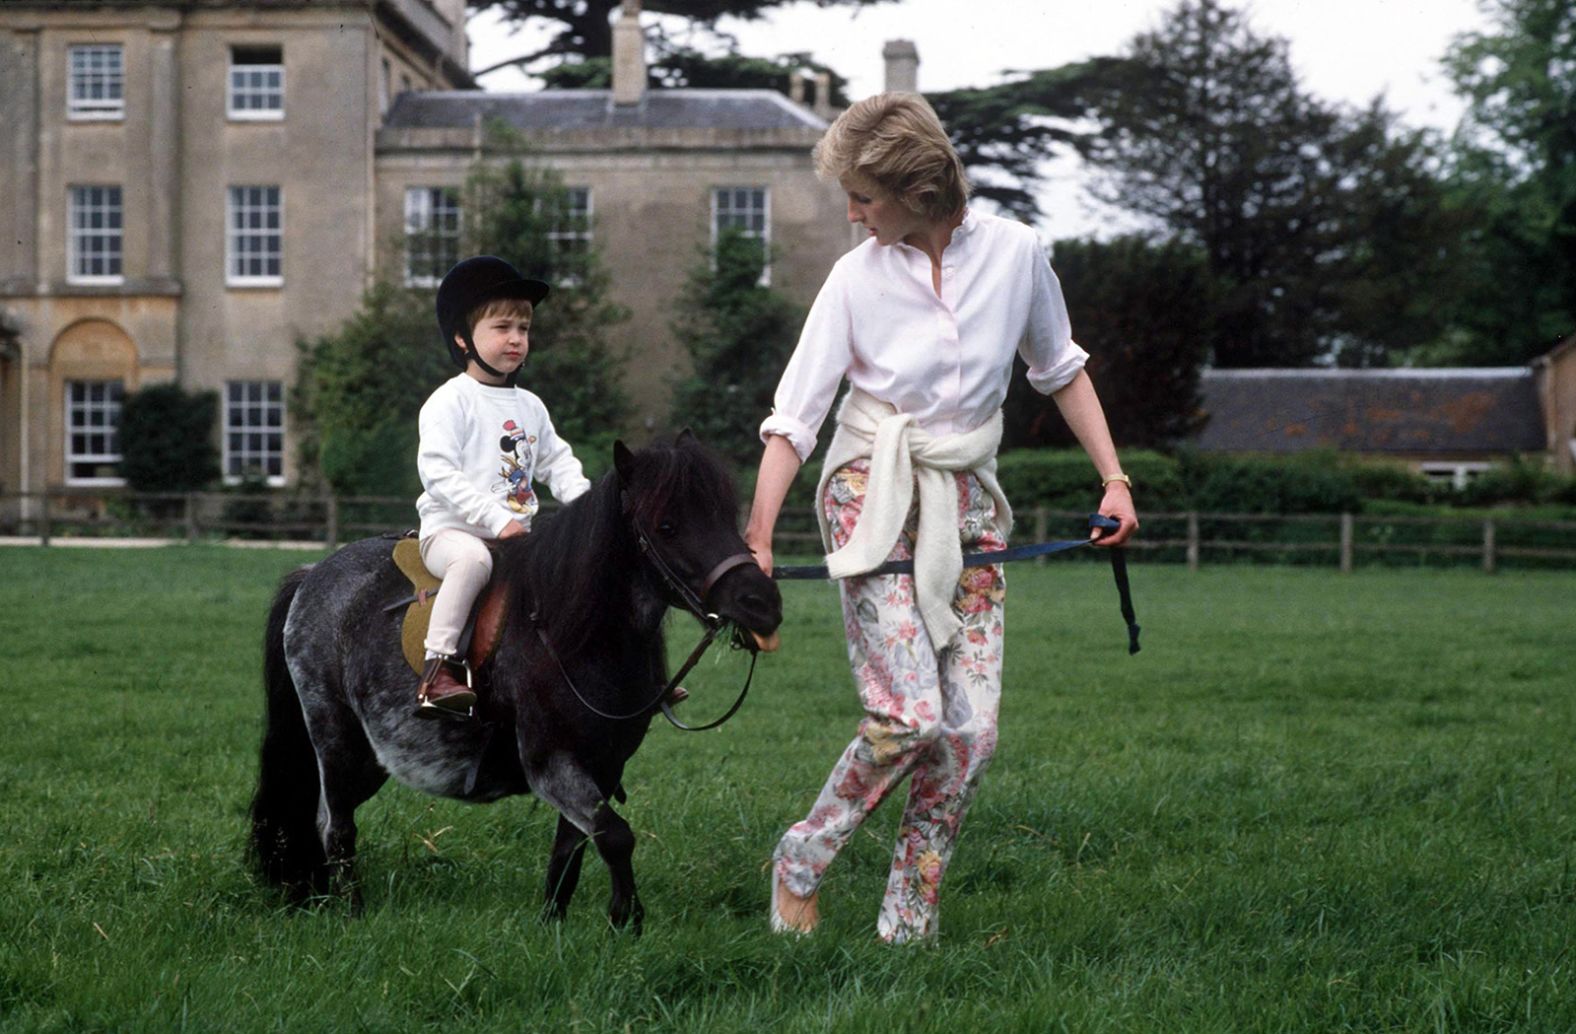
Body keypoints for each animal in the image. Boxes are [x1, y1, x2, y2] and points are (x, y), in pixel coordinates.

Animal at [247, 431, 781, 933]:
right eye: (666, 526)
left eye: (726, 515)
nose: (762, 604)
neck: (570, 632)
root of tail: (312, 574)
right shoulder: (551, 763)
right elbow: (615, 835)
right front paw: (627, 921)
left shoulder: (604, 766)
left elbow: (571, 849)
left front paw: (554, 929)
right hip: (334, 736)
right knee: (335, 827)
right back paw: (352, 913)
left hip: (369, 757)